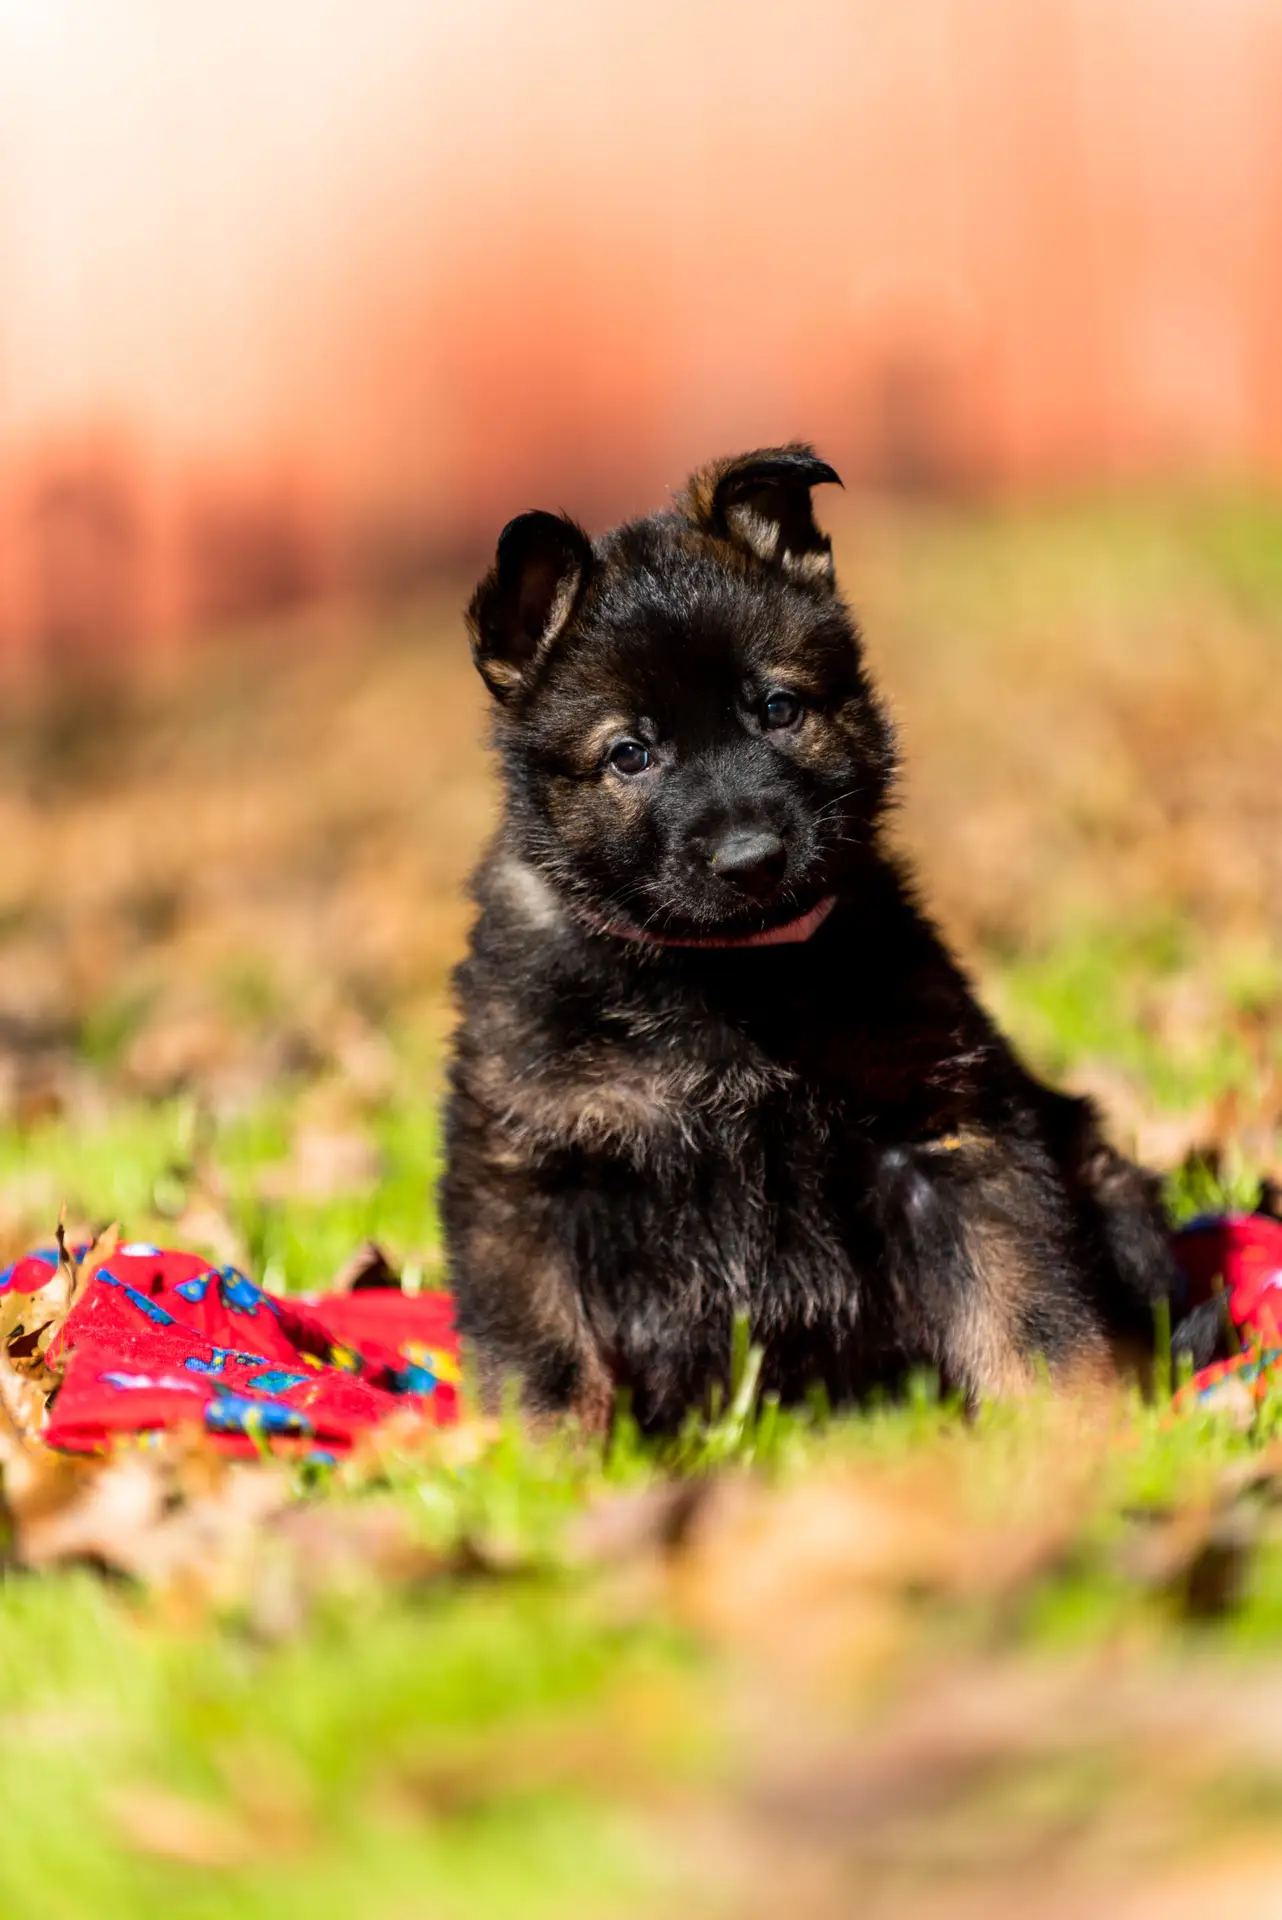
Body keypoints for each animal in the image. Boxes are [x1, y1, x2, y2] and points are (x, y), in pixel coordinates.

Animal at [443, 439, 1182, 1428]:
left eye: (779, 709)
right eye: (630, 753)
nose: (753, 859)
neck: (726, 977)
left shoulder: (946, 1131)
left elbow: (1025, 1303)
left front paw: (1072, 1434)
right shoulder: (527, 1172)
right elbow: (544, 1363)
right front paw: (545, 1465)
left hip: (1110, 1181)